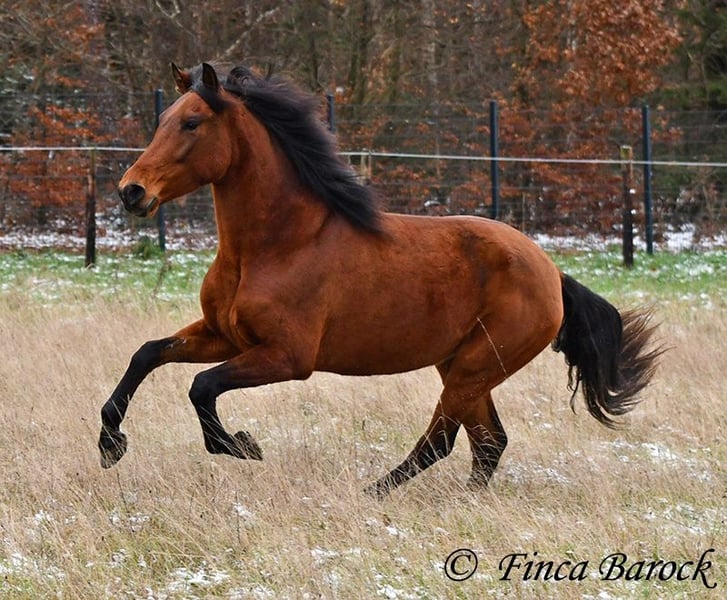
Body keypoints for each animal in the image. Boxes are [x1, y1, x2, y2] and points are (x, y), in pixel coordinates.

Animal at [99, 62, 662, 497]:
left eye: (192, 123)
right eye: (164, 120)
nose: (131, 191)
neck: (278, 244)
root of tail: (549, 271)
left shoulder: (287, 357)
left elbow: (202, 386)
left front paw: (241, 445)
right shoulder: (224, 335)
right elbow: (147, 354)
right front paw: (110, 444)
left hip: (474, 368)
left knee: (444, 440)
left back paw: (372, 494)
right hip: (462, 364)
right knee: (488, 442)